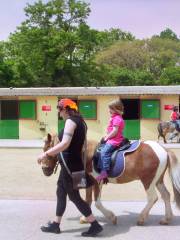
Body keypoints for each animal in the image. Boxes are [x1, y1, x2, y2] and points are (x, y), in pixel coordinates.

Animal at [40, 133, 180, 227]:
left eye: (48, 150)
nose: (45, 169)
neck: (88, 154)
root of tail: (163, 149)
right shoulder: (89, 182)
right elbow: (88, 200)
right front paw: (85, 218)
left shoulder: (98, 182)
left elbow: (97, 203)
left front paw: (111, 217)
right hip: (158, 180)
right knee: (166, 195)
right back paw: (166, 219)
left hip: (148, 180)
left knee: (153, 198)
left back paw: (141, 218)